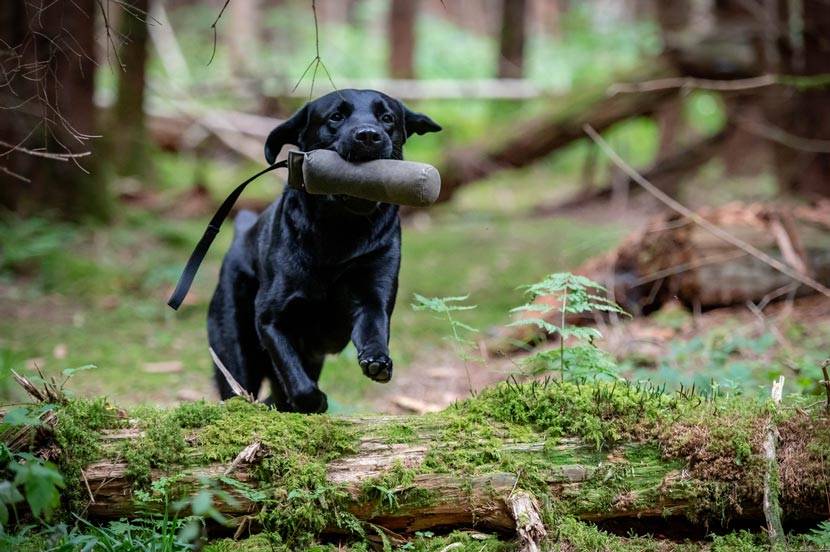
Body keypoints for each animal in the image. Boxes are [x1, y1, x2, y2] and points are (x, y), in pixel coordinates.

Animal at [207, 88, 442, 412]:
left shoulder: (373, 294)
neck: (339, 232)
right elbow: (296, 378)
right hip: (234, 348)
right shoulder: (271, 319)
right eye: (336, 116)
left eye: (387, 118)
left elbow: (374, 327)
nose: (368, 135)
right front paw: (314, 400)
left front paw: (377, 360)